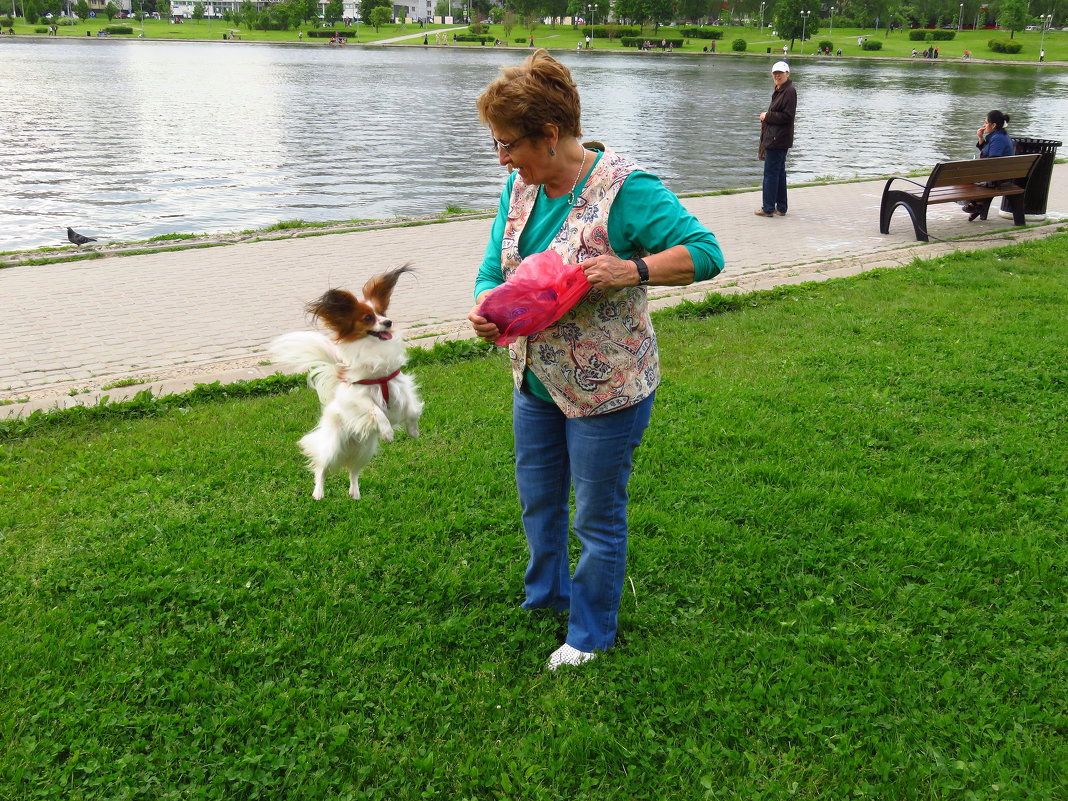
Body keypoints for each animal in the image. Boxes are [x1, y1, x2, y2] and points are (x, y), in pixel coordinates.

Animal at [269, 267, 422, 499]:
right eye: (368, 318)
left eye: (382, 313)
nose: (388, 322)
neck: (375, 350)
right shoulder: (358, 397)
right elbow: (376, 411)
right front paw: (388, 432)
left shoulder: (399, 386)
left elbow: (412, 409)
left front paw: (413, 431)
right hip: (332, 447)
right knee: (321, 468)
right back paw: (318, 493)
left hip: (364, 451)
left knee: (353, 471)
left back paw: (354, 493)